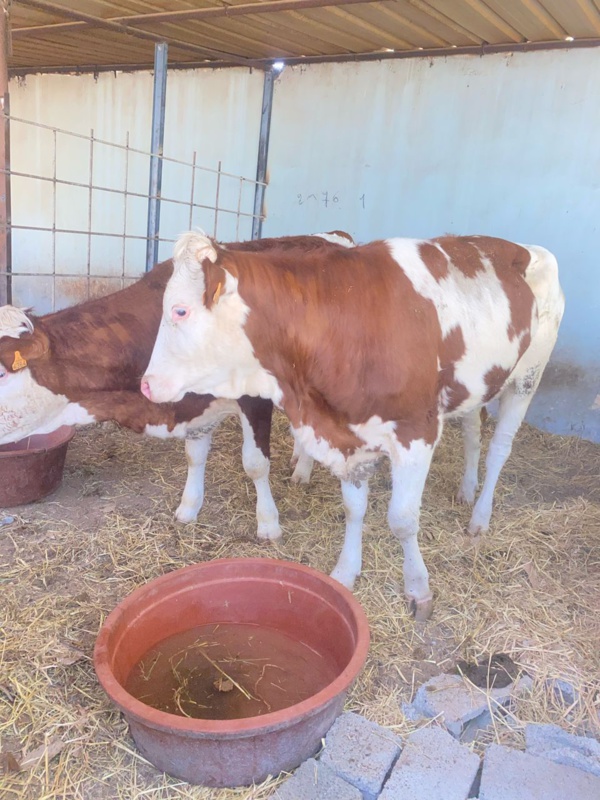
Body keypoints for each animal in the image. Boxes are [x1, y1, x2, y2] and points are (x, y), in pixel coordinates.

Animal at [0, 233, 354, 537]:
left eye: (3, 373)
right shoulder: (194, 405)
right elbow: (194, 456)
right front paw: (188, 509)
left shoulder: (254, 398)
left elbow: (254, 463)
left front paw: (268, 524)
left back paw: (302, 472)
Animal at [141, 232, 565, 620]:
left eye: (180, 311)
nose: (146, 383)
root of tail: (525, 247)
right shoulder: (345, 435)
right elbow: (354, 509)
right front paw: (345, 573)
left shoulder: (417, 431)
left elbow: (403, 520)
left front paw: (418, 588)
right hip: (475, 386)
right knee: (474, 432)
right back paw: (466, 489)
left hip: (527, 378)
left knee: (500, 449)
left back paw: (480, 516)